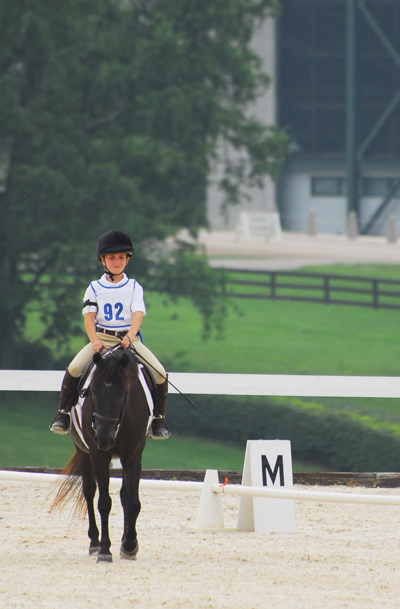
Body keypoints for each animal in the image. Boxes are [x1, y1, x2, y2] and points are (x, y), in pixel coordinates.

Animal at [50, 346, 149, 560]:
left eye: (124, 392)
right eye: (93, 391)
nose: (103, 438)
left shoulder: (133, 455)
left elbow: (133, 502)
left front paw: (129, 545)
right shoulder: (98, 455)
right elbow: (104, 502)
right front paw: (105, 549)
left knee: (124, 495)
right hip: (83, 452)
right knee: (89, 491)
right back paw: (94, 542)